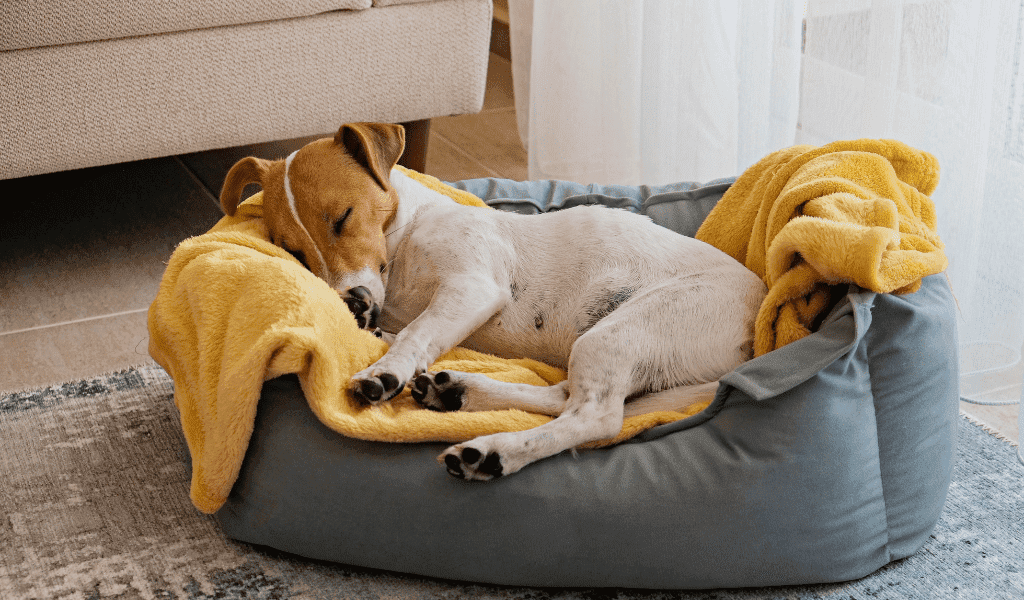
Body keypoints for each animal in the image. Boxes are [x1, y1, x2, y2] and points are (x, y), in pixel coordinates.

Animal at [220, 122, 765, 481]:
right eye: (292, 251)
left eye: (343, 217)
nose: (351, 303)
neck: (405, 239)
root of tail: (755, 338)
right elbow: (407, 333)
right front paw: (384, 342)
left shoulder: (472, 286)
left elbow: (416, 334)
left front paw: (384, 372)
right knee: (563, 397)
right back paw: (458, 391)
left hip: (621, 331)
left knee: (594, 417)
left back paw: (492, 450)